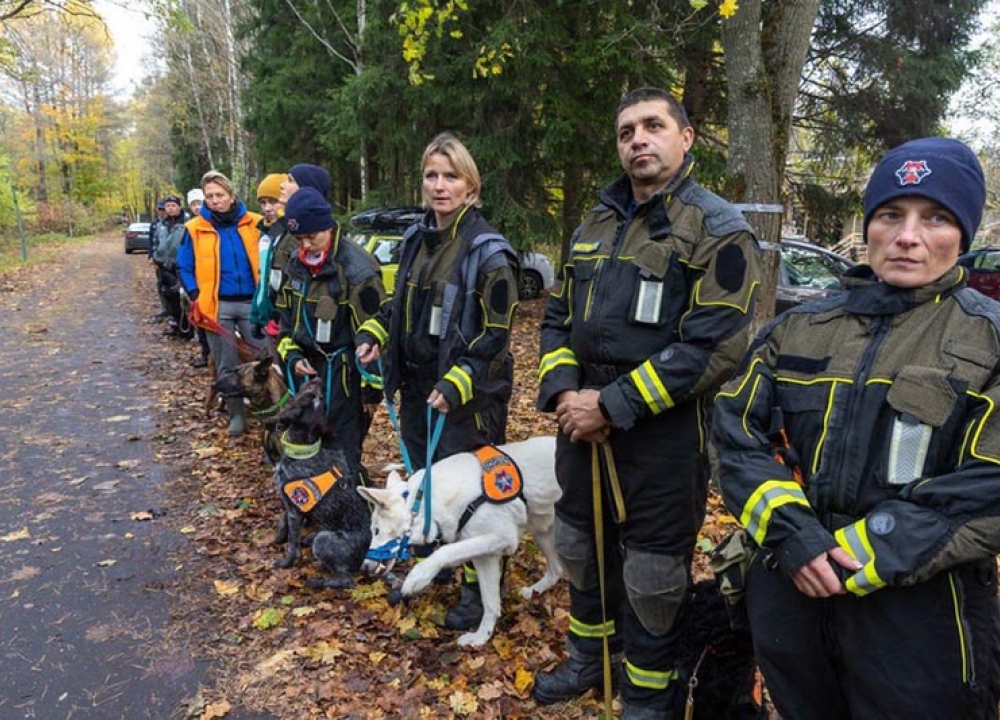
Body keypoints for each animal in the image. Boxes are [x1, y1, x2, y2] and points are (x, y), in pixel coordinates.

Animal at [358, 436, 564, 648]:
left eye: (376, 530)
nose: (364, 567)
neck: (427, 503)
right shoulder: (485, 554)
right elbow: (490, 603)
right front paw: (481, 637)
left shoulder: (502, 537)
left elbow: (444, 551)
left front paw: (418, 577)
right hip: (542, 533)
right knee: (557, 570)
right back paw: (535, 590)